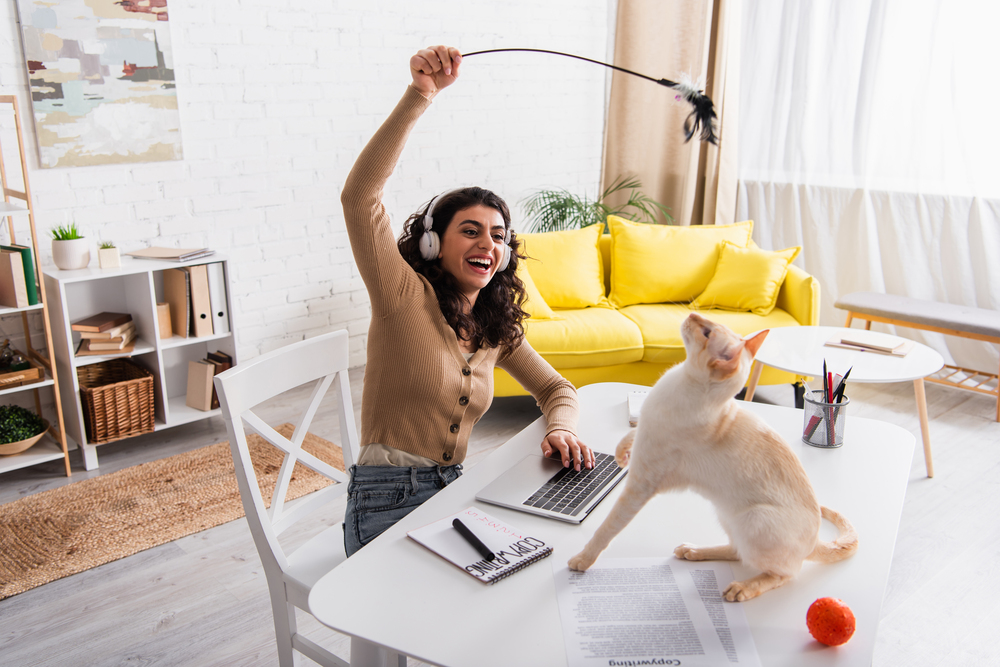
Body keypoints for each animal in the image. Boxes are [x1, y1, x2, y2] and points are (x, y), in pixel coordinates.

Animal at [568, 312, 856, 600]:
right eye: (710, 323)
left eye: (706, 332)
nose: (692, 314)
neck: (679, 381)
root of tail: (815, 541)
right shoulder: (644, 427)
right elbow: (630, 435)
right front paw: (620, 455)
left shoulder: (640, 484)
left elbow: (607, 528)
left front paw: (582, 560)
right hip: (726, 515)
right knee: (737, 550)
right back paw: (693, 550)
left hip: (754, 520)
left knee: (781, 573)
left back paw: (740, 588)